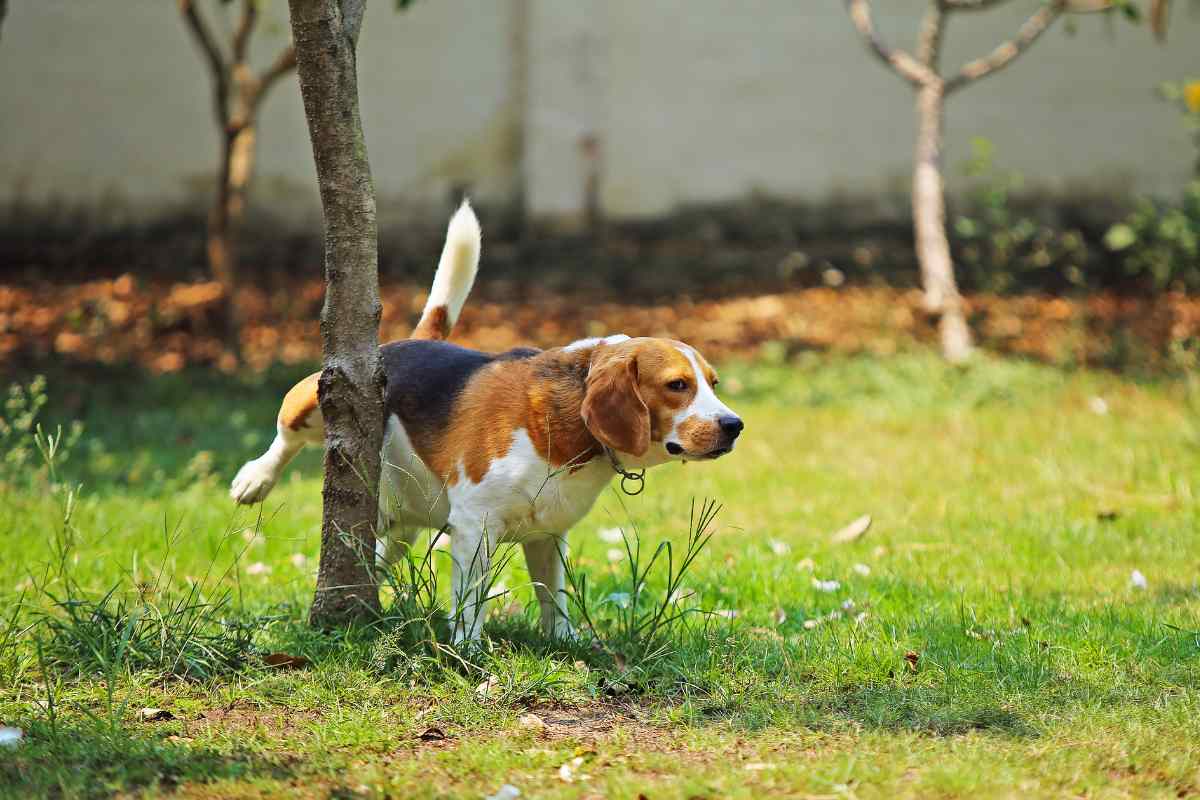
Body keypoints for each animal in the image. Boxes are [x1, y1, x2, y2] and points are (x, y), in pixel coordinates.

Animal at [230, 201, 739, 642]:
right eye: (677, 385)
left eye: (713, 382)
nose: (734, 425)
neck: (570, 423)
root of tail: (413, 341)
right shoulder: (475, 527)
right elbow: (471, 600)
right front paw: (469, 650)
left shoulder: (548, 534)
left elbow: (553, 597)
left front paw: (566, 642)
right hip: (315, 398)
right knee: (285, 435)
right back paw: (255, 478)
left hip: (400, 525)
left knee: (382, 554)